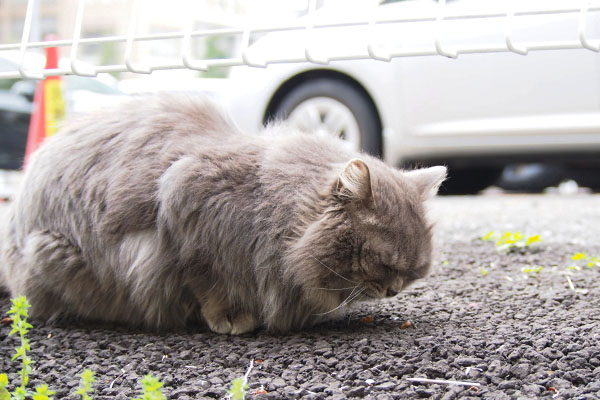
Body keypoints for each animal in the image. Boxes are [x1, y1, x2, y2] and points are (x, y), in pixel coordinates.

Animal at [1, 94, 446, 334]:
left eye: (412, 273)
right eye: (383, 263)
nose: (392, 291)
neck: (270, 209)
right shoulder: (182, 211)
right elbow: (209, 283)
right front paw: (231, 319)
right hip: (53, 253)